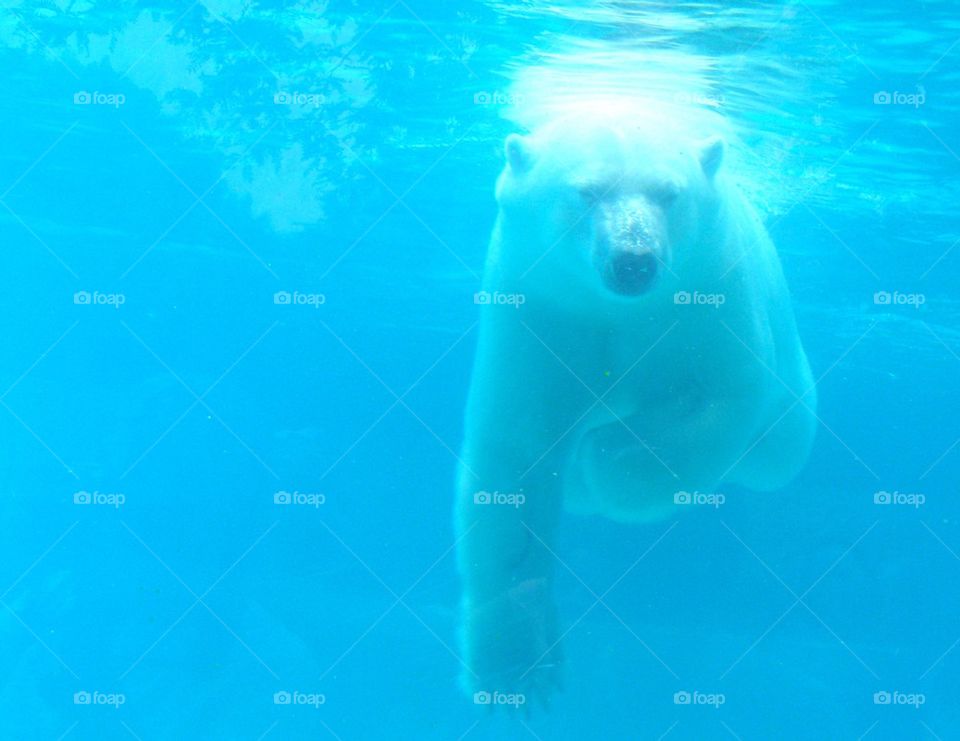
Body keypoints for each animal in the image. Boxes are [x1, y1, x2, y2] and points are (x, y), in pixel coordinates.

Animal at [454, 102, 817, 705]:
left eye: (669, 193)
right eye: (587, 191)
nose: (634, 261)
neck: (619, 310)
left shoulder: (711, 294)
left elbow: (722, 400)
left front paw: (602, 458)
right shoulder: (541, 309)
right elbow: (515, 461)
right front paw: (518, 675)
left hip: (789, 413)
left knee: (777, 454)